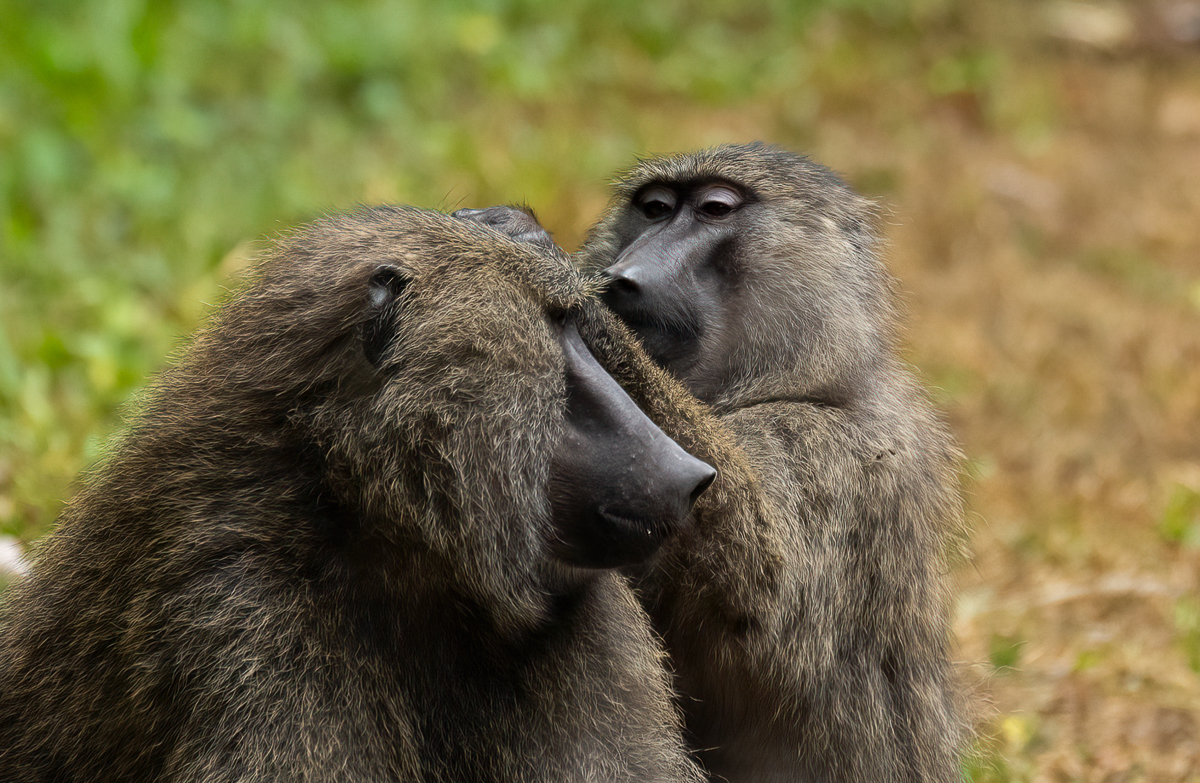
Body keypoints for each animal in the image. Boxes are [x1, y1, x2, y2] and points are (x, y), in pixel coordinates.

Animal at [457, 143, 966, 782]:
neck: (804, 379)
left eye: (714, 210)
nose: (623, 276)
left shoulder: (829, 451)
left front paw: (548, 266)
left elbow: (758, 582)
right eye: (655, 209)